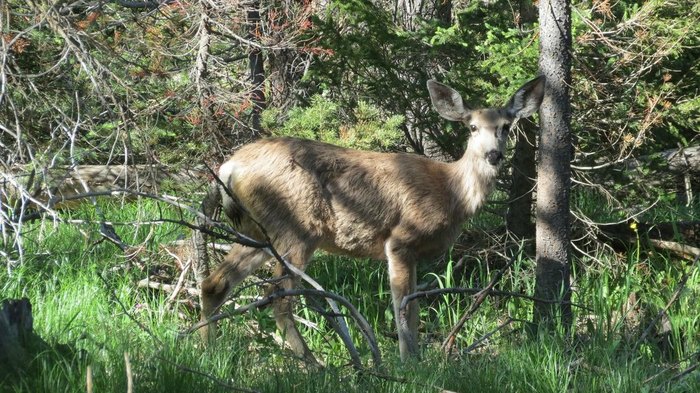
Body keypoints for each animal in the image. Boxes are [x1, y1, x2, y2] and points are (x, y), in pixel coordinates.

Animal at [198, 75, 548, 360]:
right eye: (472, 127)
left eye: (506, 126)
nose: (494, 154)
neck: (451, 192)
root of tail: (230, 167)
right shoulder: (401, 239)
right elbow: (403, 307)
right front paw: (409, 362)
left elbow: (414, 306)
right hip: (296, 229)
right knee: (277, 298)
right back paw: (314, 364)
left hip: (257, 231)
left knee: (215, 283)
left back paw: (208, 348)